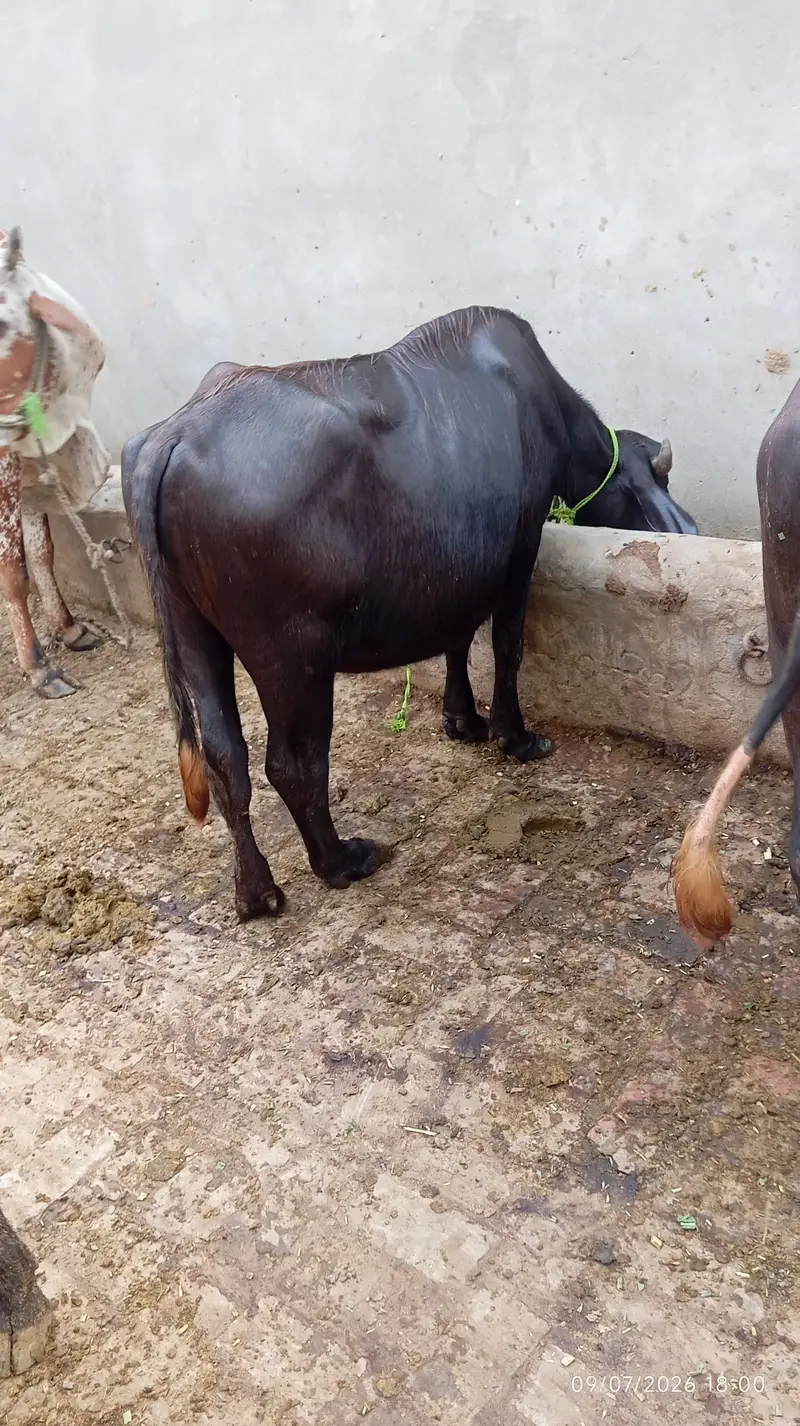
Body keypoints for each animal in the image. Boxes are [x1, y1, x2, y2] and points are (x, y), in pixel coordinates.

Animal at [123, 304, 698, 921]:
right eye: (655, 479)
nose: (684, 526)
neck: (544, 410)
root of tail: (174, 435)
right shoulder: (521, 546)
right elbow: (505, 644)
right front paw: (515, 736)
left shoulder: (458, 567)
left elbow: (457, 637)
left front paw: (462, 720)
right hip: (291, 655)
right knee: (293, 764)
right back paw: (340, 861)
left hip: (195, 634)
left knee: (226, 759)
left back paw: (258, 892)